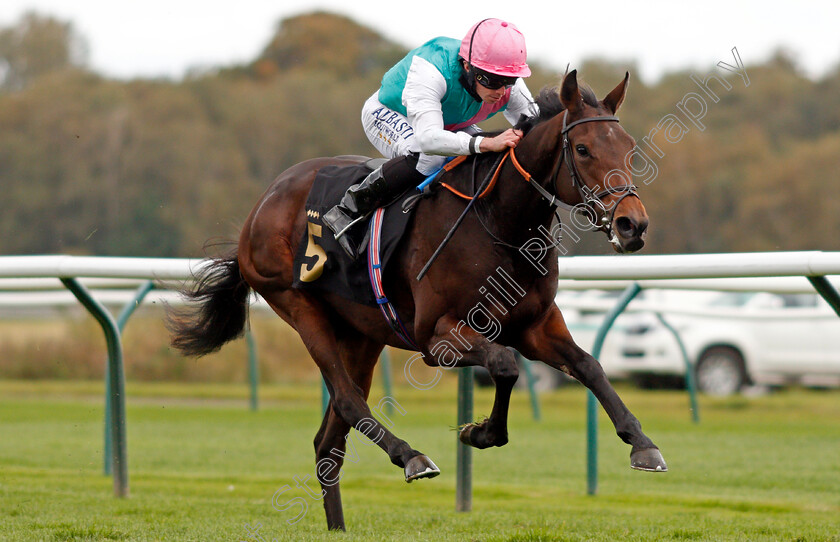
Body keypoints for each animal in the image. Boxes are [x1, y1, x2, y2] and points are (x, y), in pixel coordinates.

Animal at [169, 70, 668, 532]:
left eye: (629, 148)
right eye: (582, 149)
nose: (633, 225)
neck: (499, 222)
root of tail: (263, 204)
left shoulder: (536, 327)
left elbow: (589, 366)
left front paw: (643, 444)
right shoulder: (436, 339)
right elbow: (505, 364)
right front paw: (480, 432)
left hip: (362, 334)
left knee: (329, 439)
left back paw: (339, 527)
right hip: (297, 304)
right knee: (348, 401)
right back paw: (411, 456)